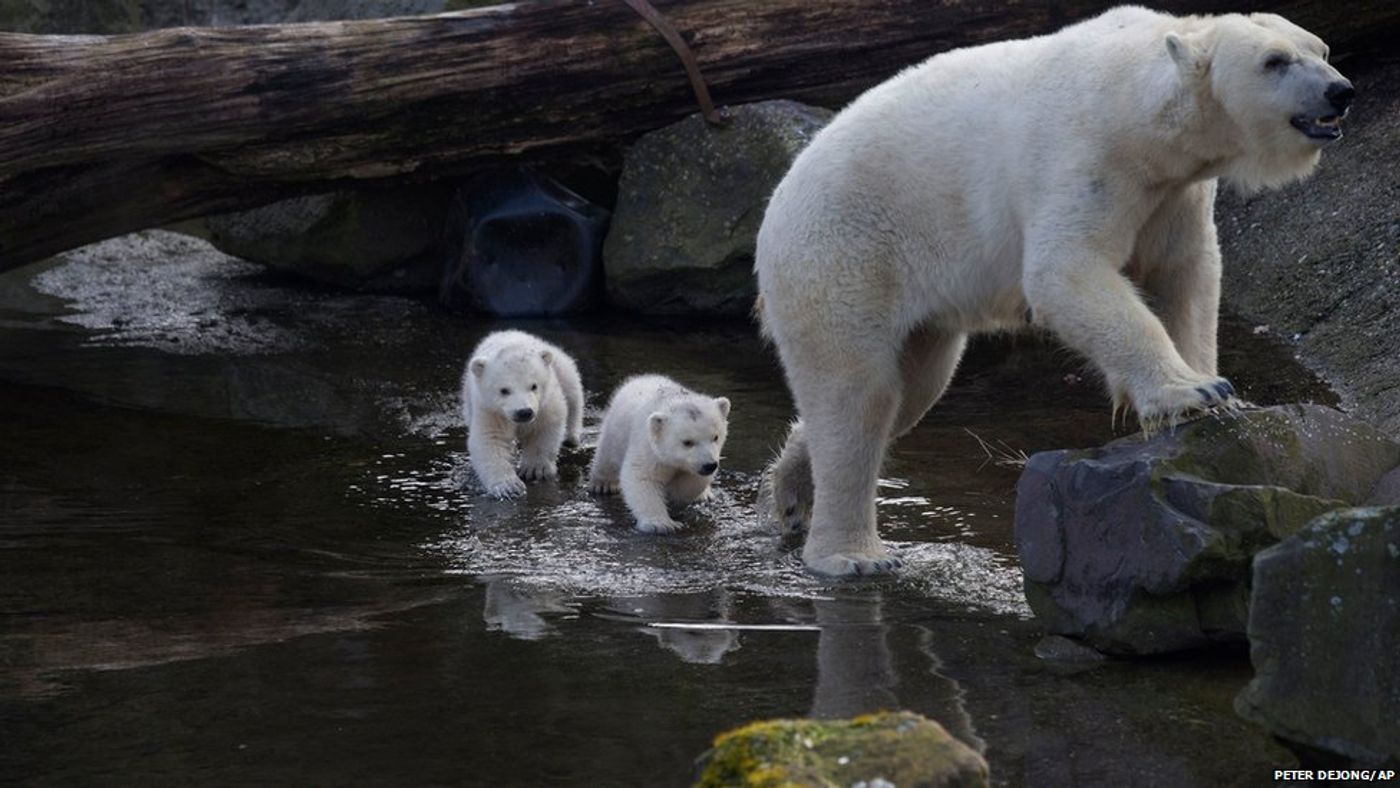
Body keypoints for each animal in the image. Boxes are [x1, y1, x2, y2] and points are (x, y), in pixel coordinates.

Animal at [761, 7, 1349, 579]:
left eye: (1320, 48)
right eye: (1275, 60)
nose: (1340, 91)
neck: (1137, 103)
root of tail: (779, 199)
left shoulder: (1173, 192)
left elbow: (1184, 276)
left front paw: (1218, 391)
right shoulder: (1087, 159)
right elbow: (1065, 271)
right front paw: (1190, 391)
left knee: (911, 392)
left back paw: (793, 493)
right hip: (846, 258)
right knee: (859, 396)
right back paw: (853, 555)